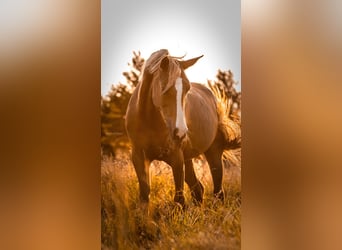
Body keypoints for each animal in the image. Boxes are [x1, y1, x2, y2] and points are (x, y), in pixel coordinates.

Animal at [125, 48, 240, 207]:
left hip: (213, 152)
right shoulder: (138, 156)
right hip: (188, 158)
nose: (180, 132)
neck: (149, 121)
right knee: (198, 189)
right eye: (165, 89)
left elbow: (179, 200)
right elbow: (144, 196)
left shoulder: (176, 157)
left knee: (218, 192)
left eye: (187, 88)